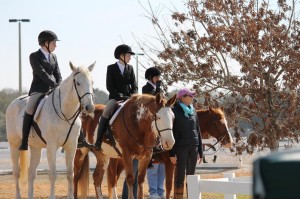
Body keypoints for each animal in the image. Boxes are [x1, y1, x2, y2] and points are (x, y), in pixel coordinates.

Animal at [5, 61, 95, 198]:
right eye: (78, 83)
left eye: (92, 82)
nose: (90, 107)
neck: (65, 112)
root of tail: (13, 103)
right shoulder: (52, 146)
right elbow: (53, 174)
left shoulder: (72, 145)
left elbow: (70, 173)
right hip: (14, 145)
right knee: (16, 172)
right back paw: (18, 195)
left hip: (35, 147)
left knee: (32, 173)